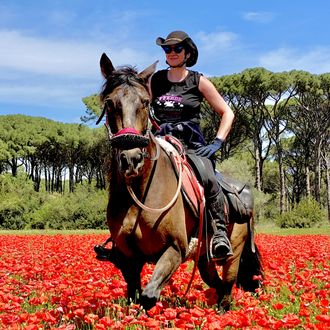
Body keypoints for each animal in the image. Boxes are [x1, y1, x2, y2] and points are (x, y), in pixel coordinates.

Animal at [93, 53, 262, 312]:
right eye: (110, 103)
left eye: (145, 102)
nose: (131, 159)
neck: (139, 193)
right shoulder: (128, 259)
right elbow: (134, 297)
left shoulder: (175, 249)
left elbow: (148, 296)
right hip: (204, 258)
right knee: (217, 284)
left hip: (233, 253)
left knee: (227, 288)